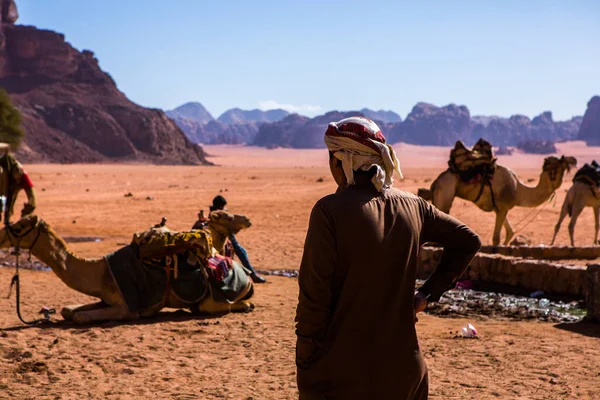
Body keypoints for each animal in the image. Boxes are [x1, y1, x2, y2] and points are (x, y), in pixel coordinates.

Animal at [0, 211, 255, 324]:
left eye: (20, 226)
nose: (2, 235)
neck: (101, 271)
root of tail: (248, 277)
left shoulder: (127, 307)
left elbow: (80, 317)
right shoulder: (106, 298)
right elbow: (68, 310)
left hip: (213, 298)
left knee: (216, 306)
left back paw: (245, 305)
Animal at [418, 156, 576, 247]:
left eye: (563, 165)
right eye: (558, 164)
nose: (572, 161)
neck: (519, 190)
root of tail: (435, 183)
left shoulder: (500, 208)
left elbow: (510, 232)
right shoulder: (503, 207)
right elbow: (496, 238)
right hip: (445, 193)